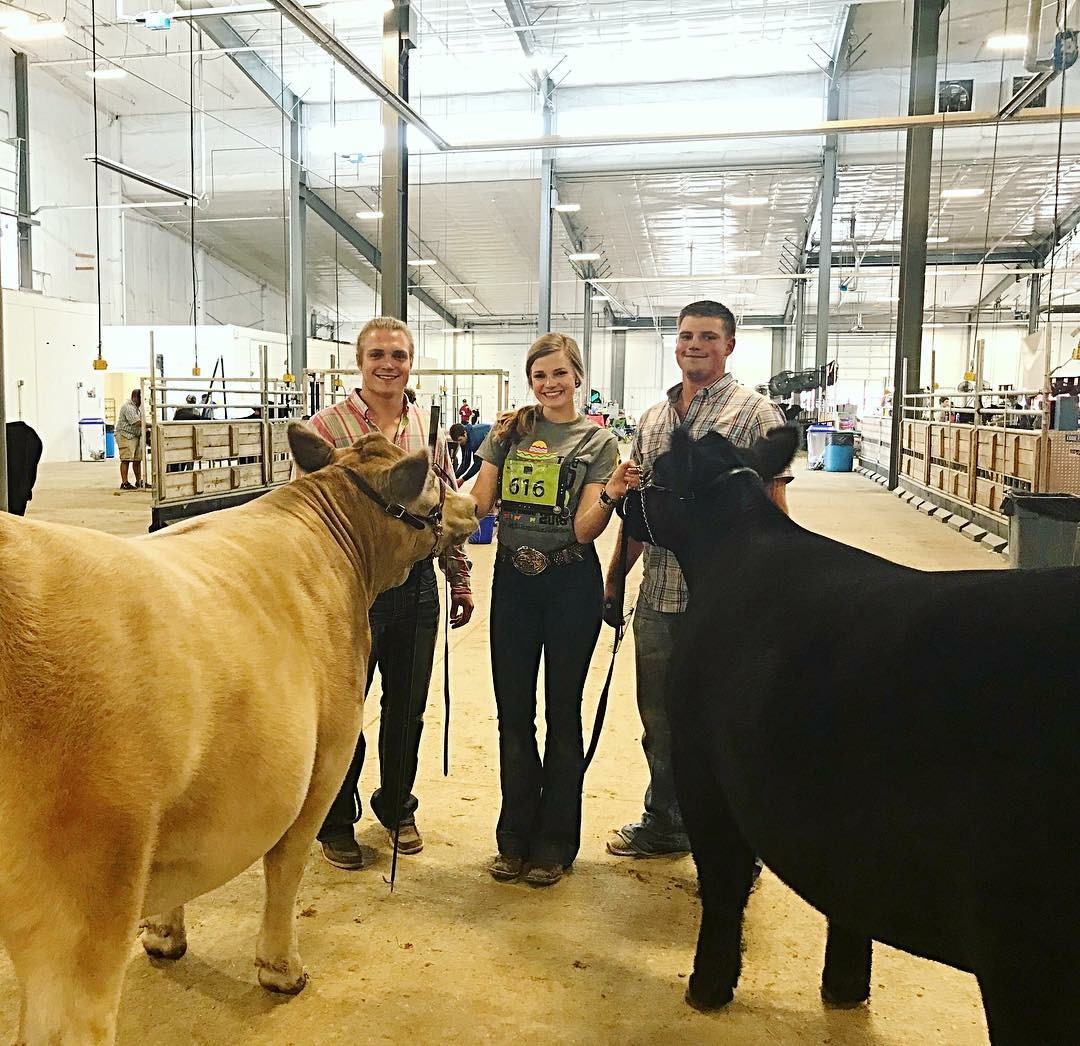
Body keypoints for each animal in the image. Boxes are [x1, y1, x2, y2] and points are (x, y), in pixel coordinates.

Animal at [0, 425, 478, 1046]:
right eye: (434, 485)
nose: (474, 507)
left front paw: (164, 935)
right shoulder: (326, 758)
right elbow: (287, 866)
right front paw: (281, 969)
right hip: (82, 897)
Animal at [618, 424, 1080, 1046]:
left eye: (658, 470)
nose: (621, 499)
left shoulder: (701, 766)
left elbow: (723, 880)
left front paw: (708, 985)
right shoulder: (841, 829)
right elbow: (846, 895)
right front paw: (845, 985)